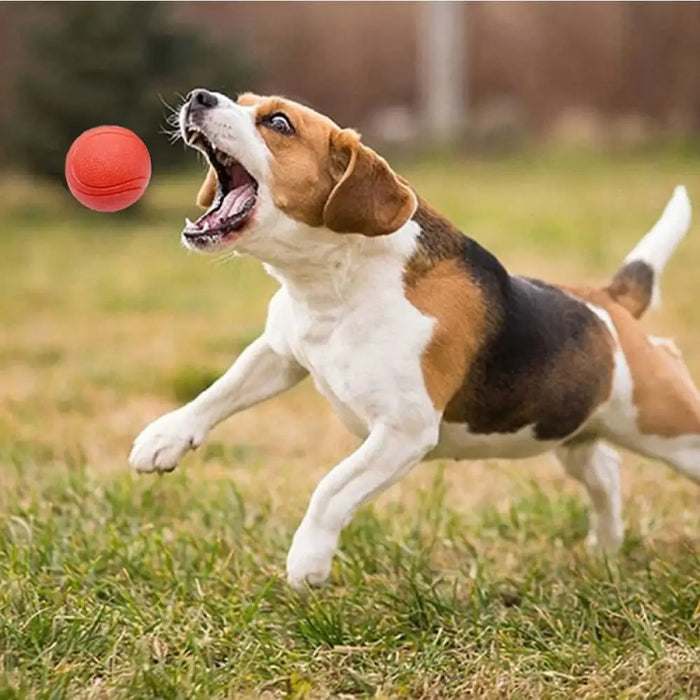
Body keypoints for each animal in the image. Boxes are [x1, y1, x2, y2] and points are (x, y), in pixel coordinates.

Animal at [130, 89, 696, 592]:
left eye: (278, 123)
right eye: (242, 102)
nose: (199, 97)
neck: (335, 283)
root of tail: (610, 303)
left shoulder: (402, 431)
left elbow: (330, 488)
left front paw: (307, 560)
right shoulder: (280, 352)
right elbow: (218, 392)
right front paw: (163, 438)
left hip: (669, 428)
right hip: (568, 432)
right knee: (606, 469)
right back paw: (605, 548)